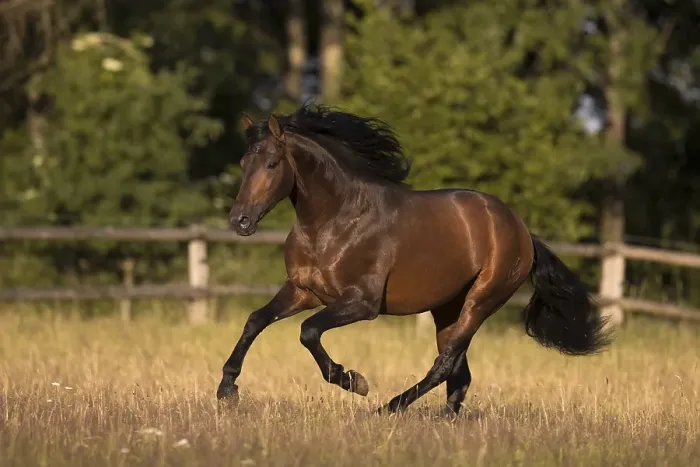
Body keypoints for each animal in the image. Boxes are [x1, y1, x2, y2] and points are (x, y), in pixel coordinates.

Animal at [216, 104, 612, 415]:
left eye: (271, 163)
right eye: (243, 162)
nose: (240, 221)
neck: (334, 220)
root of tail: (522, 232)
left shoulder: (361, 303)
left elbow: (308, 331)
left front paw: (353, 380)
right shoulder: (303, 291)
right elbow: (255, 320)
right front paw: (227, 390)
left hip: (480, 302)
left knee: (445, 364)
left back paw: (388, 407)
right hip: (447, 310)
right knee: (459, 374)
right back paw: (442, 420)